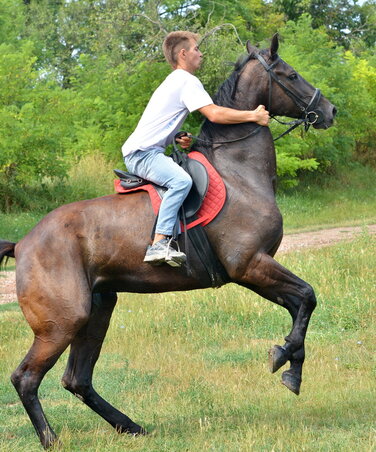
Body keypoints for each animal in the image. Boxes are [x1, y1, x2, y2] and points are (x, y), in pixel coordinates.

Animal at [0, 35, 336, 448]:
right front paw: (286, 363)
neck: (239, 172)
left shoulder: (253, 271)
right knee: (27, 378)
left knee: (77, 380)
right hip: (63, 321)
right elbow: (307, 296)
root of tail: (22, 245)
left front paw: (290, 362)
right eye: (291, 75)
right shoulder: (251, 264)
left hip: (99, 308)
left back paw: (131, 426)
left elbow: (300, 305)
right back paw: (52, 440)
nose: (330, 110)